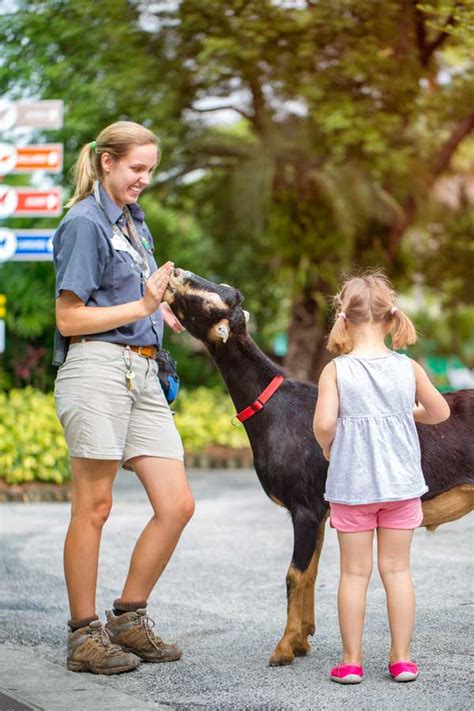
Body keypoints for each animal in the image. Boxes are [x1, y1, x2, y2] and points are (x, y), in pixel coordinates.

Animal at [164, 268, 474, 668]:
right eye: (223, 290)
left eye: (204, 301)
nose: (176, 272)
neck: (273, 405)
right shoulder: (321, 509)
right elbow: (310, 572)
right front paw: (302, 639)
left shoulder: (305, 506)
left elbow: (295, 573)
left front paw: (283, 649)